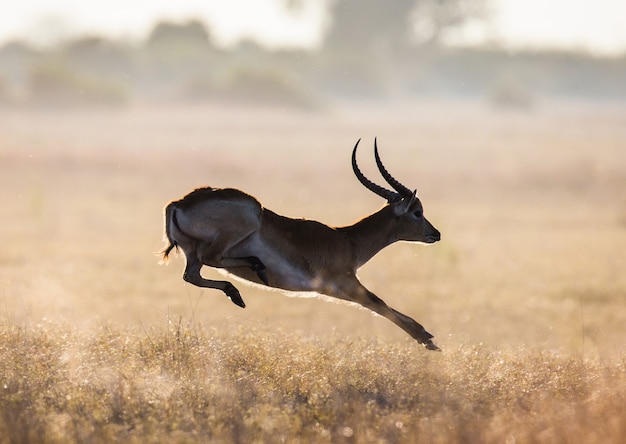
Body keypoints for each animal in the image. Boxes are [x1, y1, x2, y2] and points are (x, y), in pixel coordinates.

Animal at [163, 139, 442, 350]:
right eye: (417, 211)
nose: (436, 234)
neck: (348, 240)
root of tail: (179, 204)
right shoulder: (346, 283)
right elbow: (378, 303)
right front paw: (426, 338)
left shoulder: (335, 290)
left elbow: (376, 305)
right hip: (245, 219)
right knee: (212, 259)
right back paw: (255, 271)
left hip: (191, 253)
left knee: (191, 275)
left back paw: (238, 293)